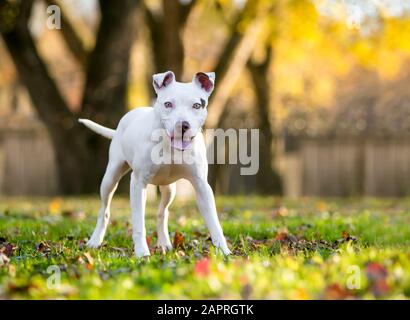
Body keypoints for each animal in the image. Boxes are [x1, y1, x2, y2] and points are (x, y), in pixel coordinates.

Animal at [77, 70, 231, 258]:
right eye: (168, 104)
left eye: (196, 105)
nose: (183, 125)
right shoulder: (138, 184)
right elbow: (139, 223)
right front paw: (142, 253)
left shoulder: (202, 186)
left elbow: (214, 223)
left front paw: (224, 252)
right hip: (110, 178)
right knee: (104, 210)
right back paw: (95, 240)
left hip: (169, 189)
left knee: (162, 212)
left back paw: (164, 243)